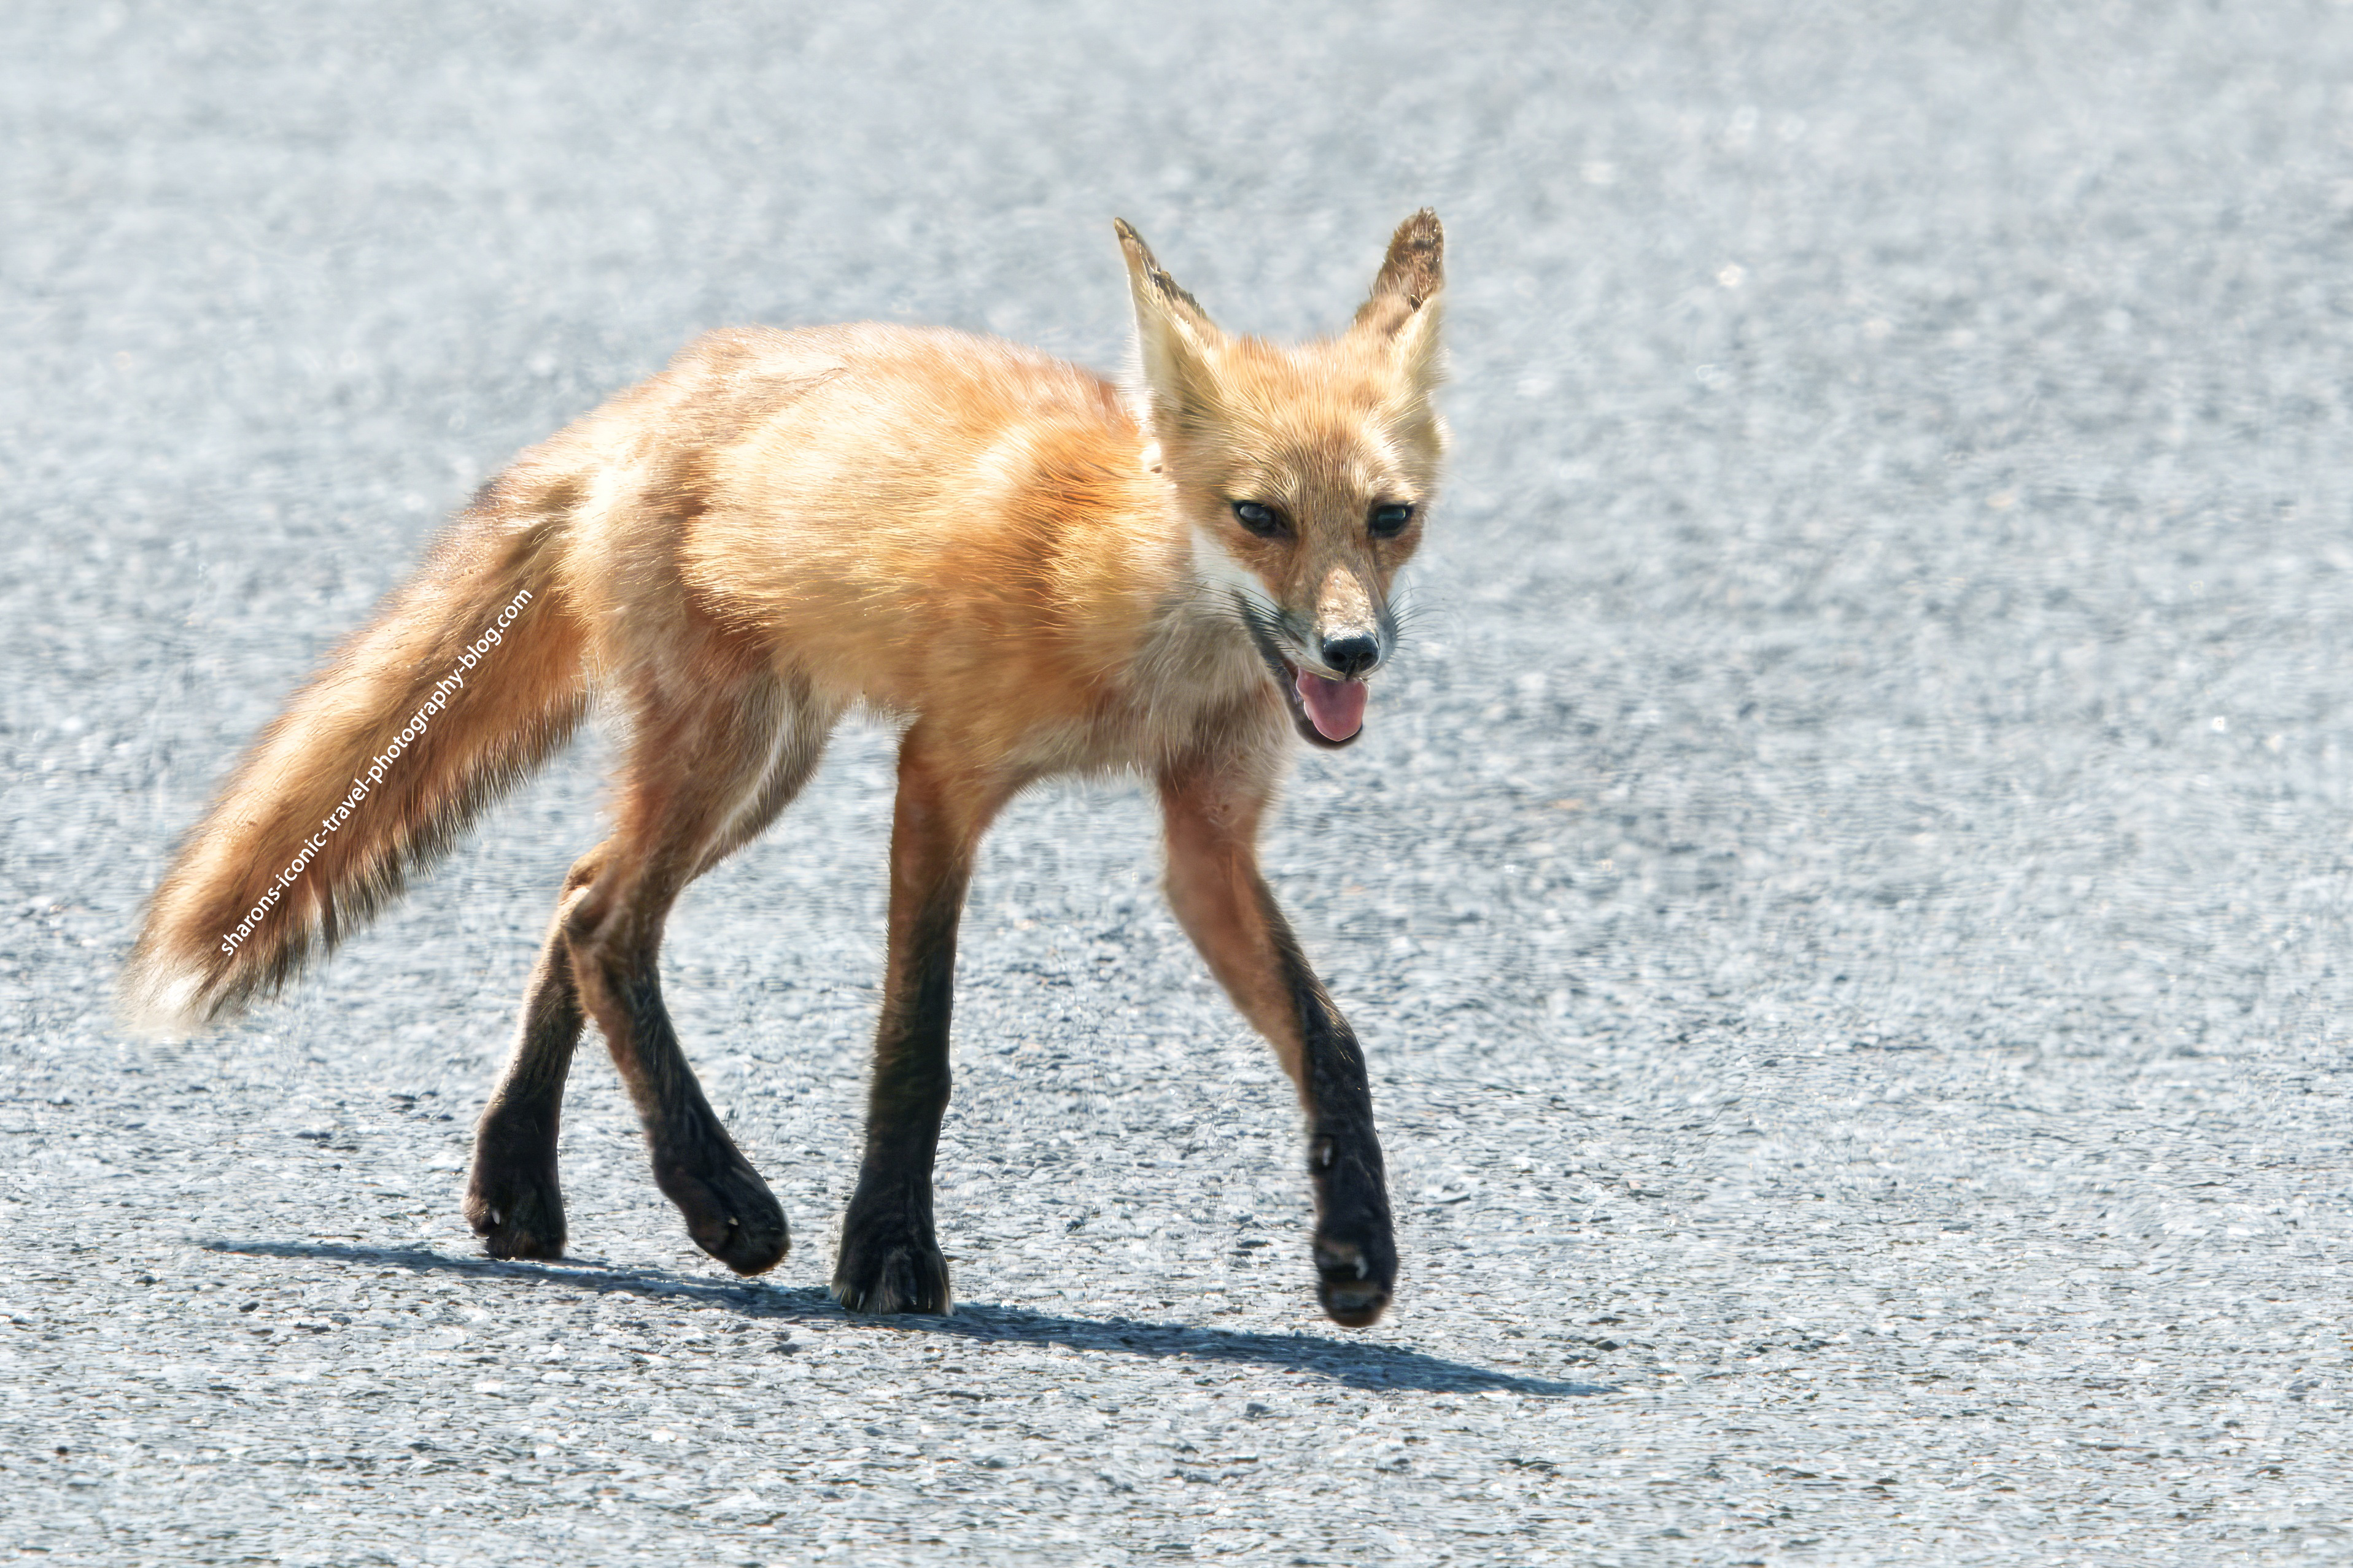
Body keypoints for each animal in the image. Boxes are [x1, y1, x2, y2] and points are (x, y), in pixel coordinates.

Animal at [119, 211, 1448, 1328]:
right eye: (1257, 516)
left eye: (1389, 519)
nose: (1350, 651)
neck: (1120, 610)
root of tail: (650, 399)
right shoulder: (940, 773)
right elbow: (915, 1042)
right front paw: (889, 1252)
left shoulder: (1203, 845)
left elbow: (1332, 1039)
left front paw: (1356, 1249)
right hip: (729, 749)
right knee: (607, 922)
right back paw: (720, 1203)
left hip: (764, 767)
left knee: (578, 894)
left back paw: (519, 1180)